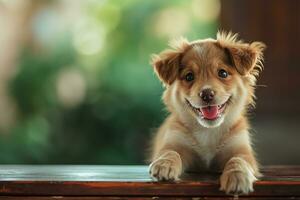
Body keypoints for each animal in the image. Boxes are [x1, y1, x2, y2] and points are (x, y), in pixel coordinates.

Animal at [148, 30, 264, 194]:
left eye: (223, 73)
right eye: (189, 76)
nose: (207, 94)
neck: (208, 131)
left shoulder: (242, 150)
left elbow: (238, 160)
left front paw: (237, 175)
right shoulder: (175, 142)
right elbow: (171, 152)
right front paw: (164, 163)